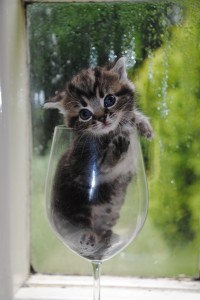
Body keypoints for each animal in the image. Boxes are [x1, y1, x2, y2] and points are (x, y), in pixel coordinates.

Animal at [44, 57, 153, 258]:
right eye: (84, 113)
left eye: (109, 100)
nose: (103, 118)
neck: (108, 134)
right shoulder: (84, 165)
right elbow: (105, 165)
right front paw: (117, 149)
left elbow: (129, 119)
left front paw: (142, 124)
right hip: (75, 207)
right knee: (77, 230)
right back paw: (87, 237)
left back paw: (107, 237)